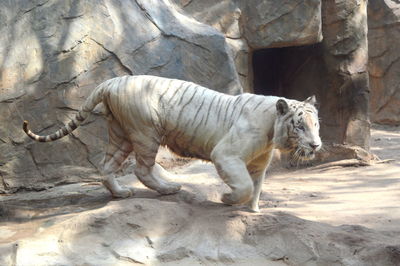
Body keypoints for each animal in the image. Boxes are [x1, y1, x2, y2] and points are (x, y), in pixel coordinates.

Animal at [23, 75, 320, 212]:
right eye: (300, 126)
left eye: (316, 124)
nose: (316, 146)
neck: (272, 130)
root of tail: (113, 80)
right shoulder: (226, 154)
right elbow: (245, 185)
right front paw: (227, 199)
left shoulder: (258, 163)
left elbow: (256, 186)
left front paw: (254, 210)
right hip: (145, 132)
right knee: (142, 169)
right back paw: (169, 189)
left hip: (121, 135)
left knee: (106, 166)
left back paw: (121, 194)